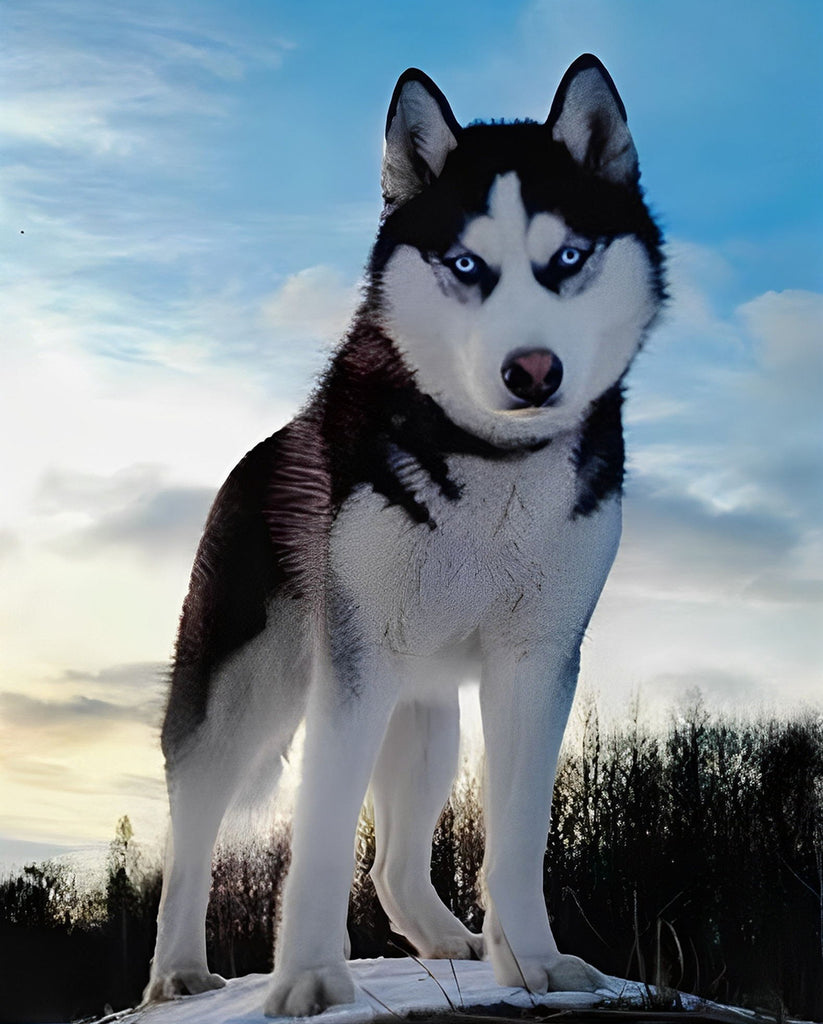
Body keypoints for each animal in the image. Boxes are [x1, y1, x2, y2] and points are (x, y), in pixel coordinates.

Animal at [146, 56, 663, 1015]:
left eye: (567, 258)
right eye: (465, 264)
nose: (532, 371)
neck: (493, 468)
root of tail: (256, 456)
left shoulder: (535, 663)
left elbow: (518, 836)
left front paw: (533, 964)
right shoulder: (352, 670)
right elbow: (316, 838)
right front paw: (311, 978)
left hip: (424, 718)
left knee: (390, 862)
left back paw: (445, 938)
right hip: (243, 699)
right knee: (191, 835)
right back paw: (175, 972)